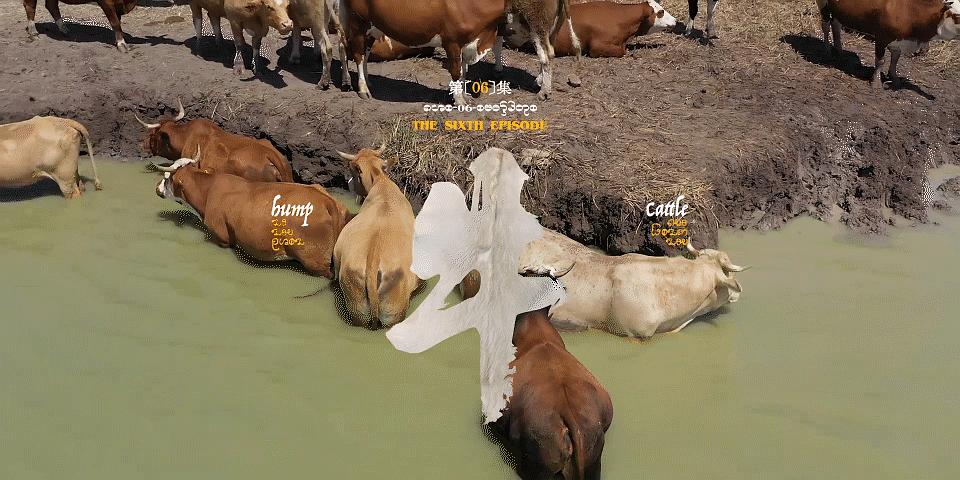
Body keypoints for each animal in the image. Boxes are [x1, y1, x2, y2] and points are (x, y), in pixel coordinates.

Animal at [155, 156, 350, 278]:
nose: (157, 187)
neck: (208, 190)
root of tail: (326, 200)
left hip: (315, 263)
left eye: (166, 177)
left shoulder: (222, 238)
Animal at [336, 0, 579, 104]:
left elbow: (463, 69)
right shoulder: (451, 40)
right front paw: (459, 99)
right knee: (357, 54)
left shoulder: (467, 40)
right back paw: (363, 89)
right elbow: (455, 70)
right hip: (358, 23)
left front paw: (461, 93)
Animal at [817, 0, 960, 88]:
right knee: (825, 26)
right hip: (823, 5)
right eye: (957, 16)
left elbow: (895, 59)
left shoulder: (899, 40)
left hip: (838, 11)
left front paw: (894, 77)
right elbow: (881, 61)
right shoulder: (882, 37)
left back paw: (839, 51)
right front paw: (876, 82)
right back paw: (827, 50)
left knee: (836, 26)